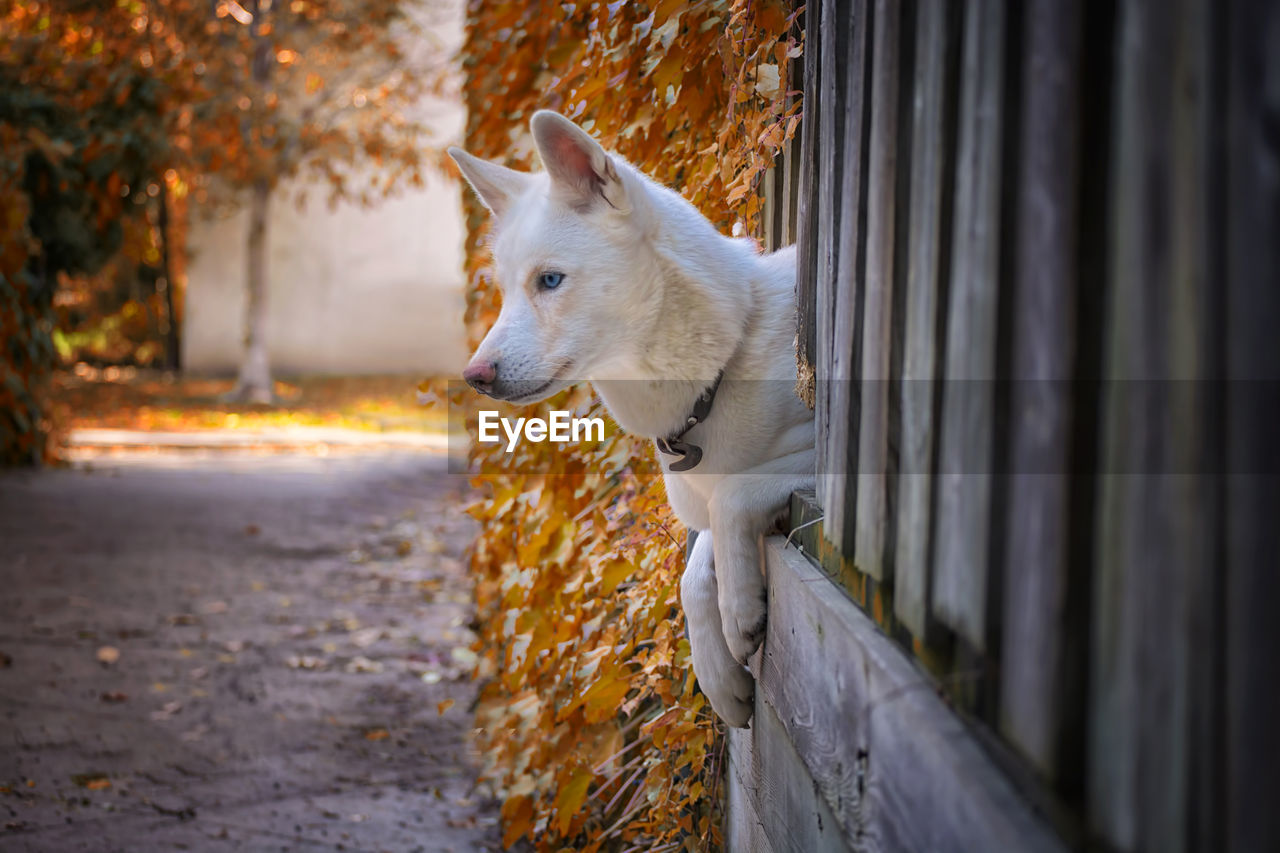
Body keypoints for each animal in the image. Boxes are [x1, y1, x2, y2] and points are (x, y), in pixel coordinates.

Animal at [450, 111, 808, 722]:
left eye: (550, 280)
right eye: (505, 291)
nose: (475, 376)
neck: (726, 361)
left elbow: (733, 497)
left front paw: (740, 613)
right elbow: (693, 572)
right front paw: (721, 678)